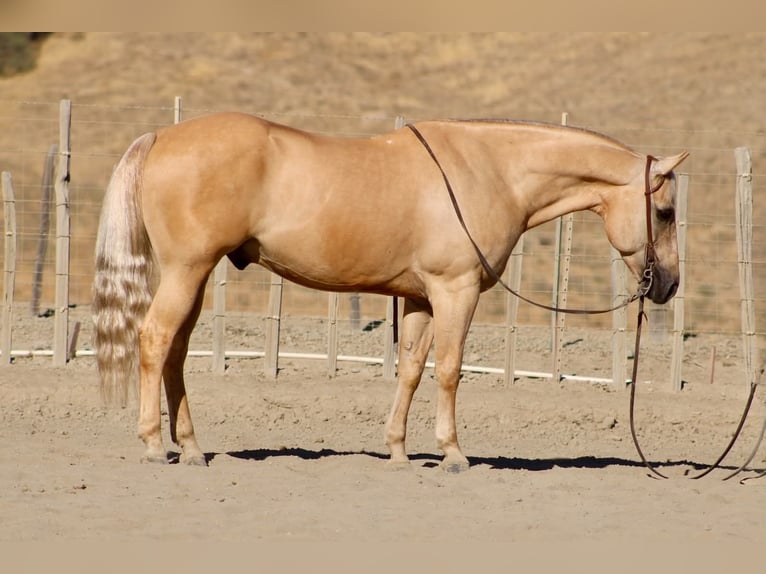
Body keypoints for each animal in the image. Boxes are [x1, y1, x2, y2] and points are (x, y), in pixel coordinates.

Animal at [93, 112, 688, 472]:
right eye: (664, 211)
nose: (669, 284)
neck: (490, 170)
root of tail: (162, 137)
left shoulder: (423, 298)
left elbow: (411, 370)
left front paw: (399, 451)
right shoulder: (456, 291)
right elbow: (449, 370)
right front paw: (453, 454)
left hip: (192, 275)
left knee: (175, 352)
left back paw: (192, 448)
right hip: (186, 270)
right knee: (155, 340)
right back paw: (154, 444)